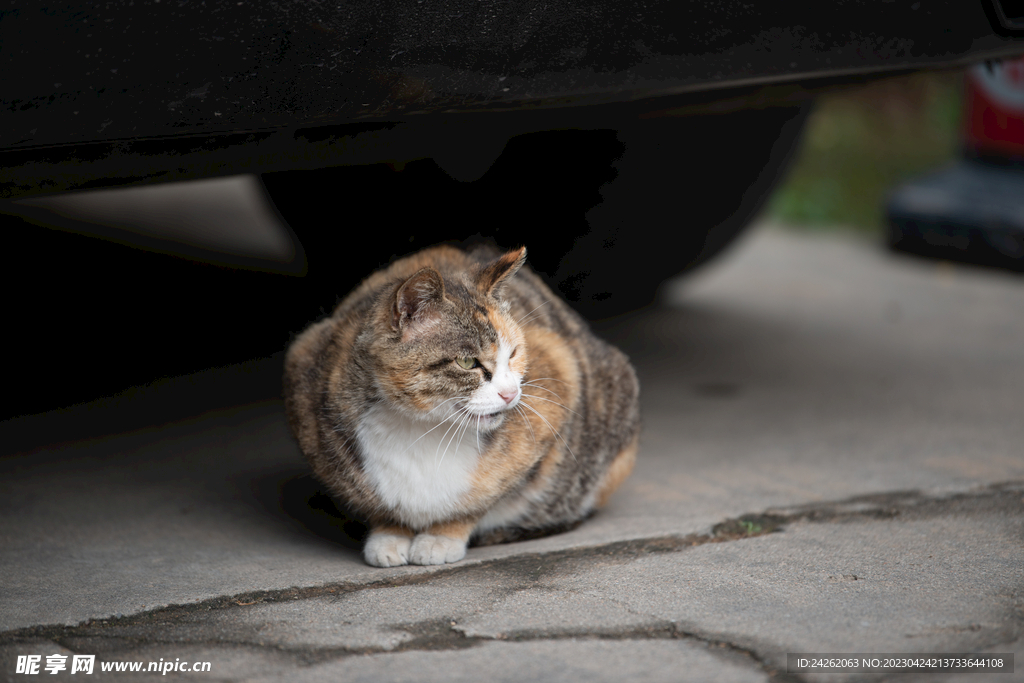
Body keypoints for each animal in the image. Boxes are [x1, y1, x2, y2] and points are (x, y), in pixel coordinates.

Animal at [282, 244, 638, 565]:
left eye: (513, 354)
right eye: (467, 362)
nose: (511, 394)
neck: (420, 428)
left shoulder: (558, 373)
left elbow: (481, 496)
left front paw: (442, 535)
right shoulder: (305, 366)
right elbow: (377, 502)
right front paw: (389, 532)